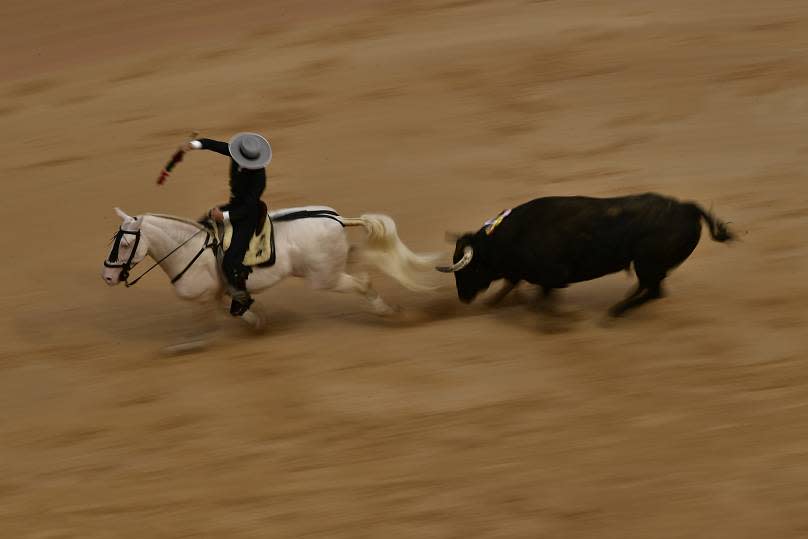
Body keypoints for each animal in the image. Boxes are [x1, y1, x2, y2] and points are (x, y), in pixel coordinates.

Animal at [102, 207, 442, 346]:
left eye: (126, 244)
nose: (107, 277)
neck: (189, 248)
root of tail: (336, 218)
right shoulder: (222, 293)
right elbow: (237, 309)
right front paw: (260, 322)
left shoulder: (205, 297)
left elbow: (208, 319)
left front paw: (189, 345)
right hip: (332, 266)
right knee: (366, 262)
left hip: (324, 278)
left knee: (363, 282)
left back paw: (391, 313)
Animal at [438, 193, 736, 316]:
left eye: (471, 268)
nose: (463, 298)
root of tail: (687, 208)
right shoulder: (526, 273)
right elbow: (514, 285)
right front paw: (495, 303)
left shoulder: (552, 275)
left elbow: (540, 296)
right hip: (648, 266)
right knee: (653, 289)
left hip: (647, 264)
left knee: (653, 290)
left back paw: (616, 311)